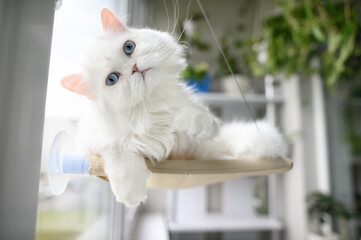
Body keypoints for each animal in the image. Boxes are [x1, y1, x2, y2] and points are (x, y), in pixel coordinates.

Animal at [62, 7, 286, 206]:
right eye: (112, 79)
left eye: (128, 47)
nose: (134, 68)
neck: (152, 104)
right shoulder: (95, 141)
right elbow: (119, 153)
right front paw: (131, 193)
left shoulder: (196, 128)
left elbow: (198, 116)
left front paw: (190, 123)